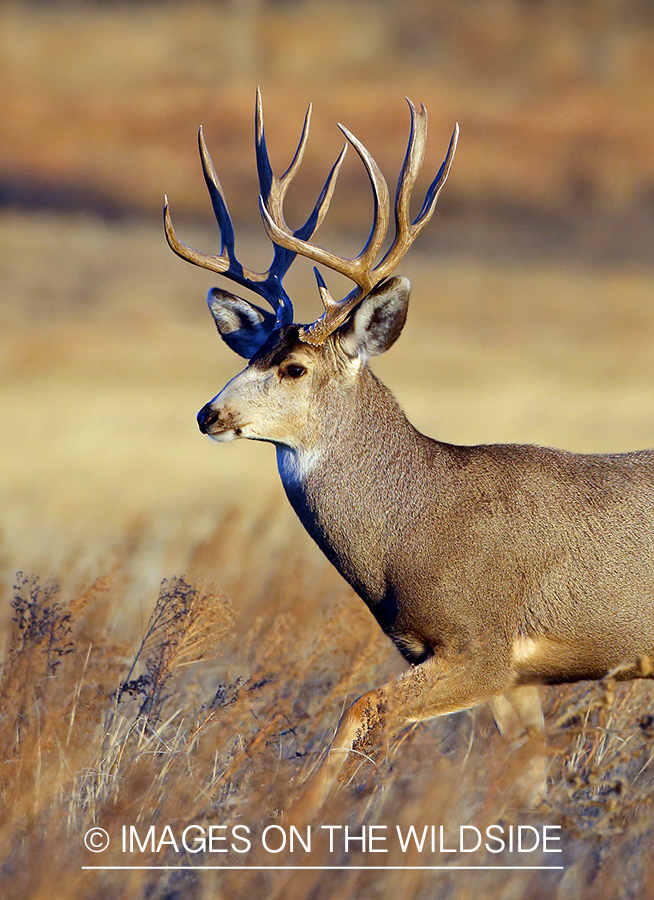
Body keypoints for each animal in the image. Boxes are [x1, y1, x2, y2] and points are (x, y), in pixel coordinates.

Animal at [167, 89, 654, 816]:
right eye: (248, 354)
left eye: (293, 367)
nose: (209, 414)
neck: (416, 527)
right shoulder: (510, 677)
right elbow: (527, 783)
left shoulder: (482, 645)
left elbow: (361, 709)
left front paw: (303, 815)